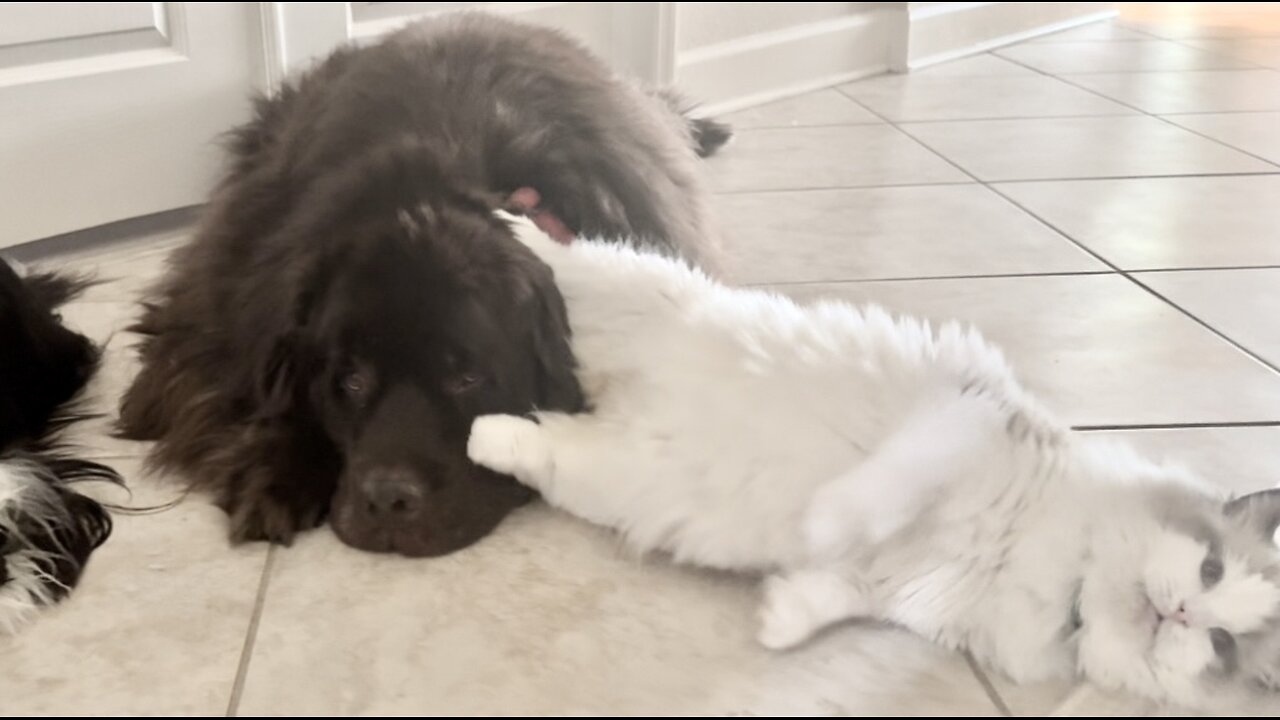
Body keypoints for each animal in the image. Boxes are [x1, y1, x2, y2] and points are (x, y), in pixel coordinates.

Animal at [468, 211, 1280, 707]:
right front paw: (825, 521)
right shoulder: (967, 410)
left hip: (607, 475)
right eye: (1210, 569)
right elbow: (877, 494)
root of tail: (615, 402)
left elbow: (835, 596)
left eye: (1219, 646)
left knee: (536, 447)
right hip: (624, 292)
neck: (1066, 575)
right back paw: (508, 218)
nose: (1179, 610)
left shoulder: (906, 589)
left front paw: (781, 617)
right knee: (561, 253)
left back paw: (487, 434)